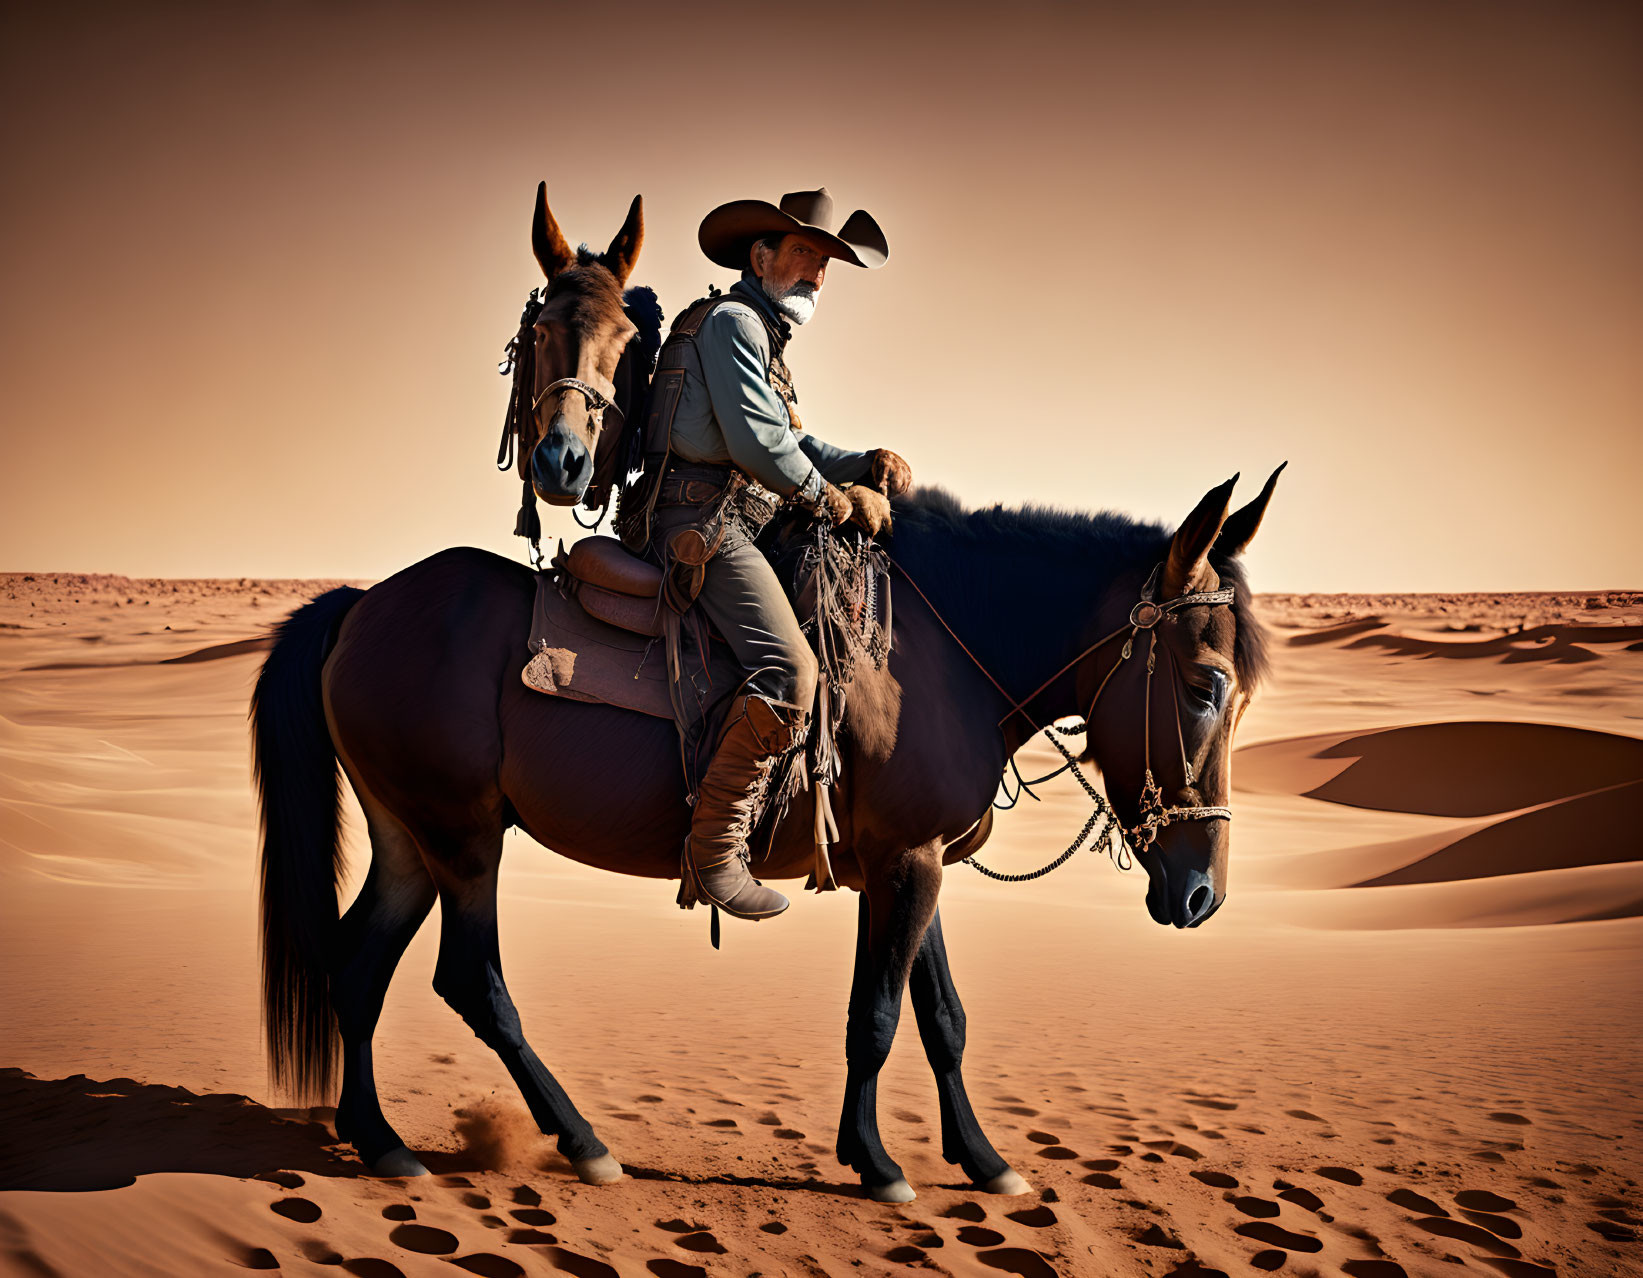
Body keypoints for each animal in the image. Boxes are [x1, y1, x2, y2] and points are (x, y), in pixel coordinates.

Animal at [253, 186, 1281, 1195]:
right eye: (1203, 686)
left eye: (1237, 699)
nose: (1202, 894)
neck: (941, 654)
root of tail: (359, 606)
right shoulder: (904, 862)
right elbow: (875, 1017)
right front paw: (876, 1164)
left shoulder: (915, 861)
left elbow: (941, 1017)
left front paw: (984, 1162)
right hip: (462, 836)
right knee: (471, 981)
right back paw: (581, 1143)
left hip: (407, 835)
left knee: (356, 963)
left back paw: (380, 1139)